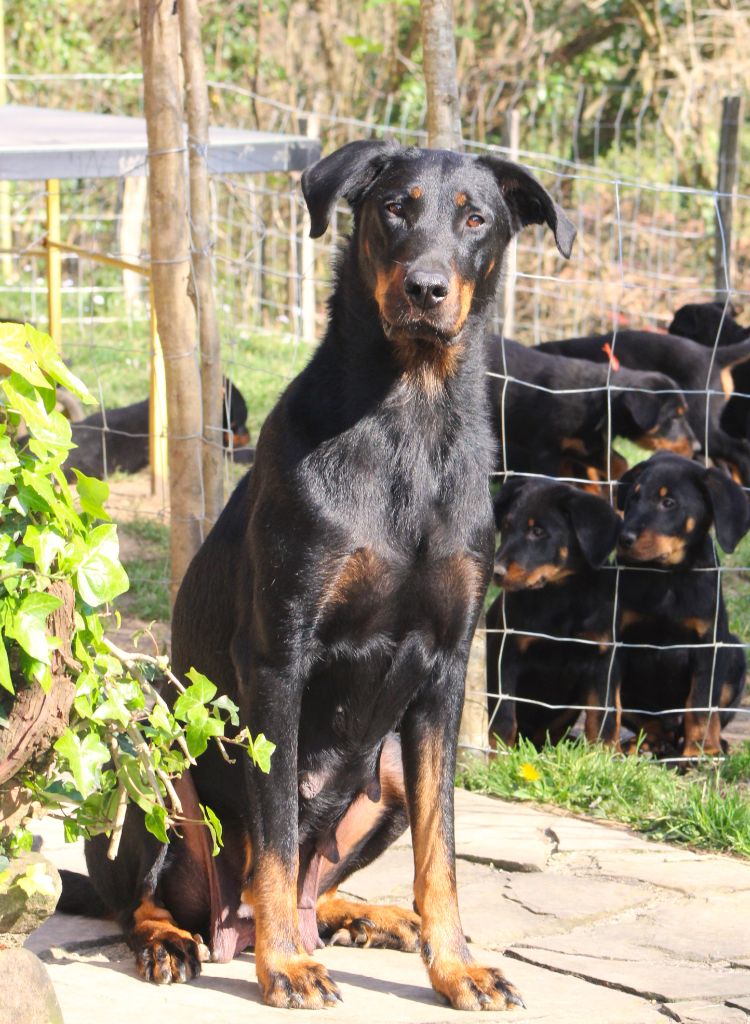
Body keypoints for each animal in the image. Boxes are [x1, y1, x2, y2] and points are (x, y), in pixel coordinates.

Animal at [486, 335, 696, 486]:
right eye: (674, 417)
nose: (697, 448)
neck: (601, 404)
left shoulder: (585, 446)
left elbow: (617, 464)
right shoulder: (545, 450)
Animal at [486, 477, 621, 748]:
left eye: (538, 531)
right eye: (506, 526)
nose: (496, 572)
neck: (562, 595)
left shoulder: (601, 659)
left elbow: (601, 723)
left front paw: (600, 755)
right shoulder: (506, 652)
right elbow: (503, 721)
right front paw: (501, 758)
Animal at [616, 452, 748, 756]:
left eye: (668, 503)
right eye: (632, 498)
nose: (623, 538)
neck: (667, 577)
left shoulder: (706, 645)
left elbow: (699, 705)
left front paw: (699, 752)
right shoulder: (618, 640)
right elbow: (610, 702)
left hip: (734, 652)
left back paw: (715, 744)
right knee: (653, 725)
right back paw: (646, 745)